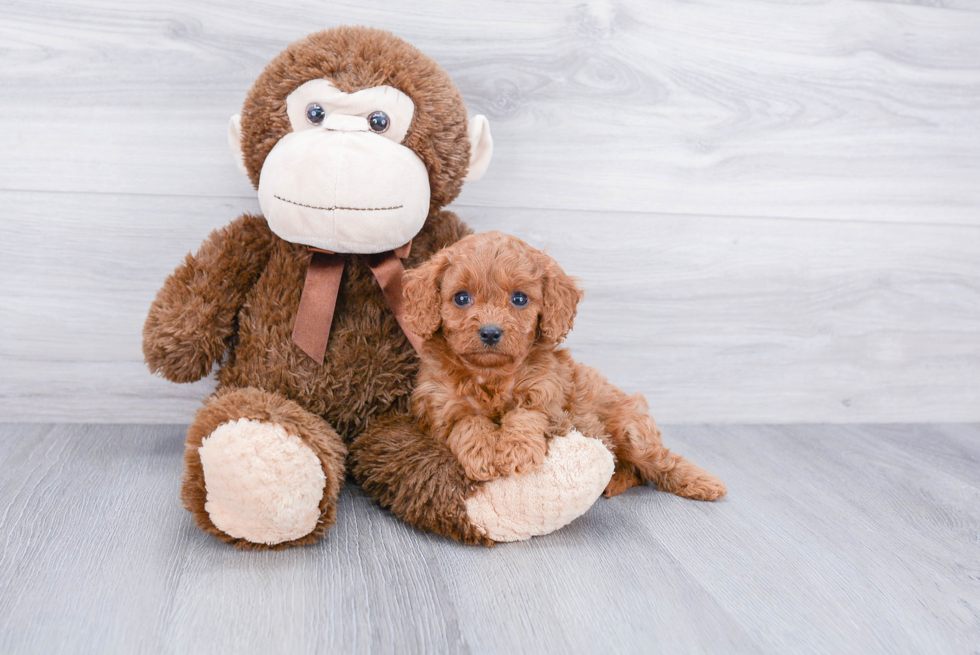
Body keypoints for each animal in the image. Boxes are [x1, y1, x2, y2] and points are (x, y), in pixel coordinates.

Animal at [400, 232, 728, 502]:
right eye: (461, 298)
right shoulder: (440, 407)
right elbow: (468, 422)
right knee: (634, 471)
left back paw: (702, 482)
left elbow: (526, 415)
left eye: (519, 298)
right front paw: (482, 453)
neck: (490, 375)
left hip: (632, 429)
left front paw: (517, 450)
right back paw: (612, 481)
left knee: (660, 461)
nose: (490, 332)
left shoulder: (549, 398)